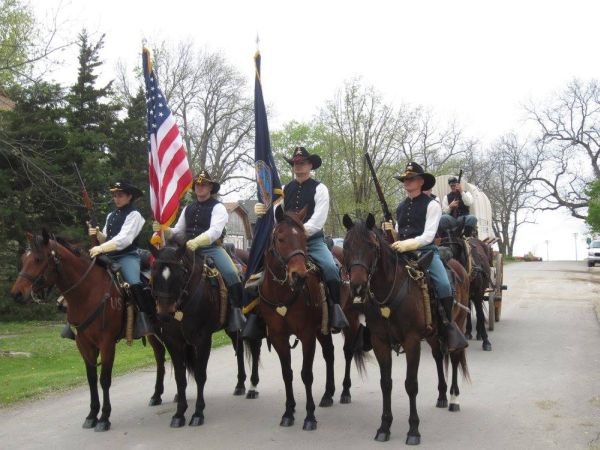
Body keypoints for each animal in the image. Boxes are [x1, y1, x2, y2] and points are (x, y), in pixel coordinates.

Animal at [258, 206, 360, 430]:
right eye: (280, 238)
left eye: (304, 238)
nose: (299, 276)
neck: (282, 293)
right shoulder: (279, 337)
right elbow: (287, 373)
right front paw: (288, 412)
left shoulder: (306, 335)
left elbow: (306, 374)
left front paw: (309, 416)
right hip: (322, 329)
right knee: (329, 354)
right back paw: (328, 394)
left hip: (351, 319)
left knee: (347, 352)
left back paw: (345, 391)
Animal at [342, 214, 468, 442]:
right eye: (346, 246)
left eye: (371, 246)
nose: (357, 287)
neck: (388, 293)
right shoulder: (380, 342)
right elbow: (386, 383)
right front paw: (384, 426)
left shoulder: (411, 342)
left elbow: (411, 384)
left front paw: (413, 429)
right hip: (432, 334)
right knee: (438, 356)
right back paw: (442, 395)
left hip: (459, 323)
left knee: (454, 357)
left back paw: (453, 398)